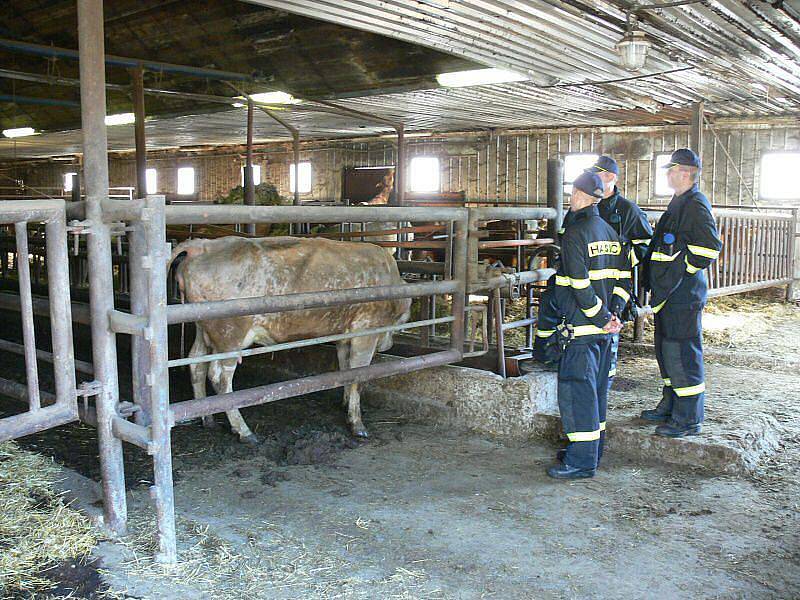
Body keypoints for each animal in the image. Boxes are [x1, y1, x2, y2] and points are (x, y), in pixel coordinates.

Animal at [173, 237, 412, 442]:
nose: (389, 343)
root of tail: (202, 245)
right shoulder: (366, 331)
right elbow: (358, 377)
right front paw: (357, 424)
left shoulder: (344, 335)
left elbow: (344, 370)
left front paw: (345, 405)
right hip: (230, 336)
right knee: (220, 379)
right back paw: (243, 430)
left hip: (204, 330)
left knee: (196, 364)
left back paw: (207, 418)